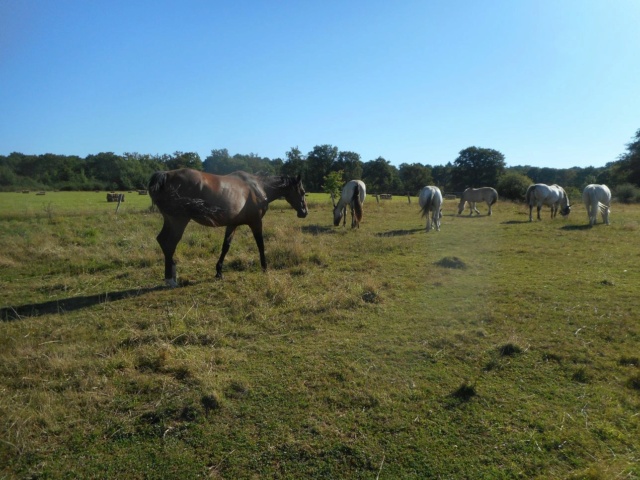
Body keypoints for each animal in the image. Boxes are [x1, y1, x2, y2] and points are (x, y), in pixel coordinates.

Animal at [151, 168, 310, 284]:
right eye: (302, 191)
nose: (304, 212)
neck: (258, 187)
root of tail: (166, 175)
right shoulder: (256, 222)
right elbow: (261, 244)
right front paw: (265, 268)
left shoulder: (232, 224)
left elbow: (225, 247)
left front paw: (219, 272)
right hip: (179, 222)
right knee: (169, 243)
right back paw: (171, 279)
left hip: (170, 221)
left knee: (162, 241)